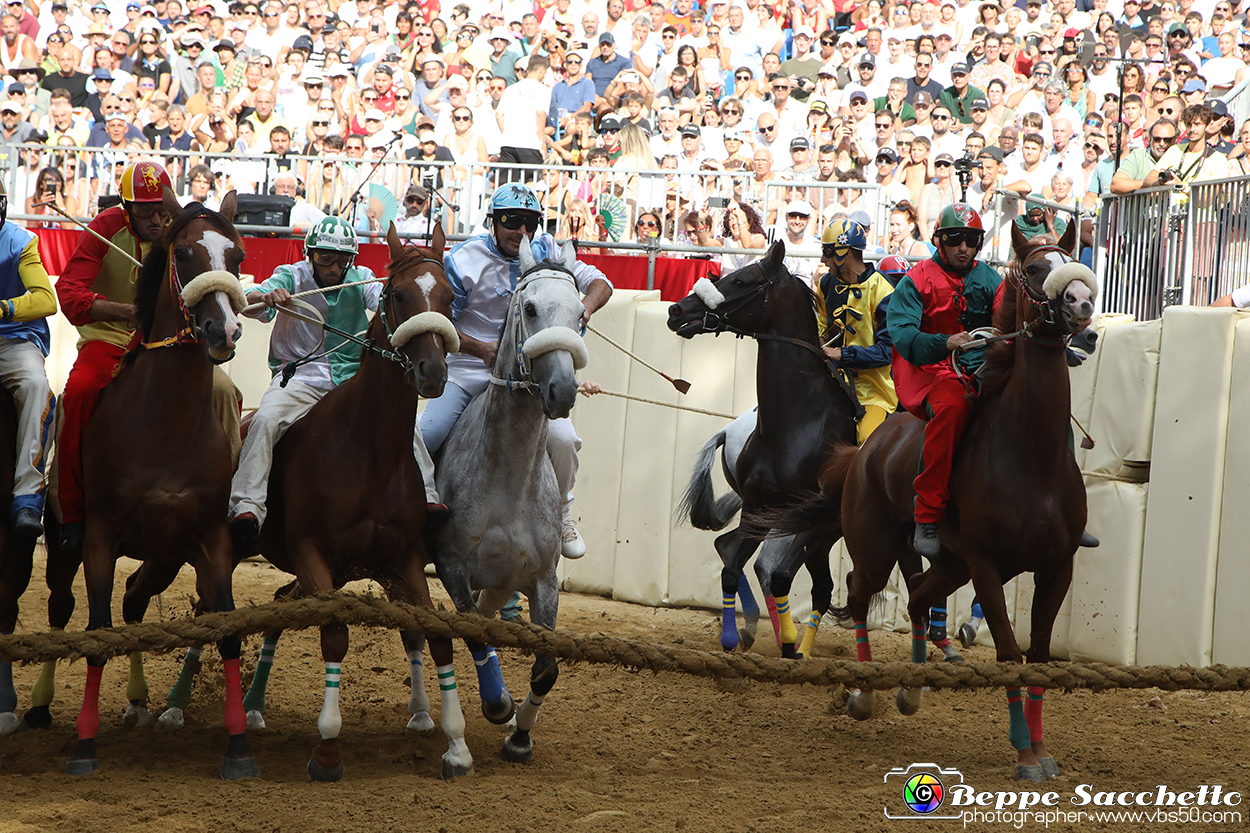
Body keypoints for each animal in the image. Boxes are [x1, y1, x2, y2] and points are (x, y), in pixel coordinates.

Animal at [427, 233, 587, 765]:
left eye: (581, 313)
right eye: (531, 307)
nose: (562, 390)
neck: (508, 483)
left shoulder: (542, 579)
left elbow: (546, 669)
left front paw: (520, 736)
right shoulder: (450, 562)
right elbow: (474, 632)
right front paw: (498, 705)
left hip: (502, 582)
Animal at [665, 240, 860, 655]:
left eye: (740, 280)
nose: (677, 311)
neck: (797, 422)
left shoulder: (808, 517)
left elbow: (780, 575)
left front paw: (786, 642)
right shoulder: (758, 507)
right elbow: (732, 569)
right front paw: (734, 636)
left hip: (824, 528)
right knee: (749, 559)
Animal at [800, 220, 1095, 780]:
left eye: (1074, 262)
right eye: (1034, 269)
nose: (1082, 304)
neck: (1030, 456)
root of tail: (868, 448)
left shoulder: (1057, 567)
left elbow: (1039, 657)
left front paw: (1042, 752)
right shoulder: (986, 564)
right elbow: (1009, 655)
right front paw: (1024, 755)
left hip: (950, 563)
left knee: (917, 595)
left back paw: (912, 690)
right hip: (876, 547)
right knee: (857, 593)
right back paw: (864, 696)